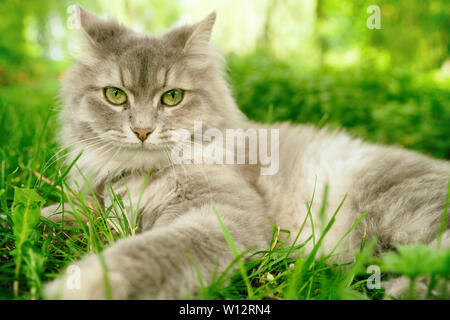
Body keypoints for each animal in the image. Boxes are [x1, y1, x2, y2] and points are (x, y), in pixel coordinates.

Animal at [41, 5, 446, 300]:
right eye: (115, 95)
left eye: (172, 97)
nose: (142, 131)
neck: (141, 176)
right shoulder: (94, 207)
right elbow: (59, 213)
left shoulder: (225, 215)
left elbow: (153, 251)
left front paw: (85, 285)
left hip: (402, 206)